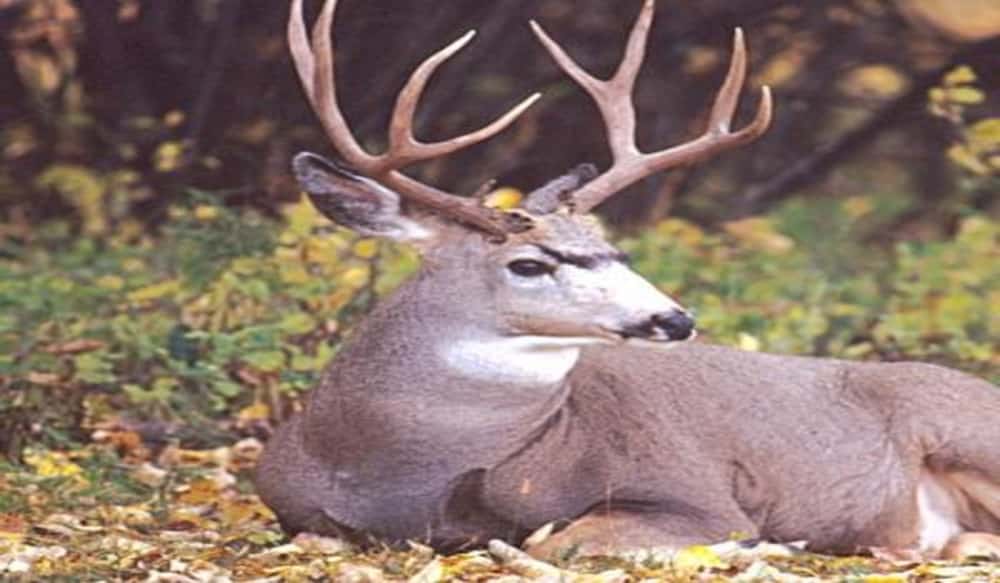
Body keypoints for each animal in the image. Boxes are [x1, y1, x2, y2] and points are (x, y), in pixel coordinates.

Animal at [256, 0, 1000, 561]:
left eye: (614, 250)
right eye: (530, 262)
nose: (675, 319)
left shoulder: (694, 490)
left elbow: (558, 539)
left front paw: (763, 546)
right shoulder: (287, 499)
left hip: (968, 429)